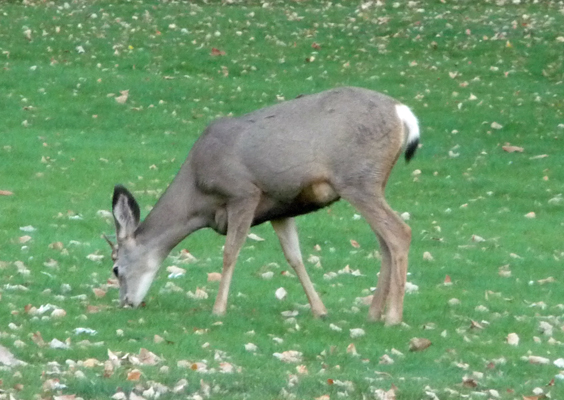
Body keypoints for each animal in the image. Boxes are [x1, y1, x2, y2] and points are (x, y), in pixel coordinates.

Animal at [108, 86, 420, 324]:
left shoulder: (243, 193)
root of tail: (403, 114)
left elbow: (230, 253)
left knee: (400, 232)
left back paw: (393, 317)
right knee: (385, 242)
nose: (126, 303)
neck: (198, 197)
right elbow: (294, 258)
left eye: (115, 269)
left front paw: (218, 309)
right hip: (373, 183)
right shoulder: (281, 208)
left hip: (357, 179)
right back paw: (373, 313)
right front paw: (319, 310)